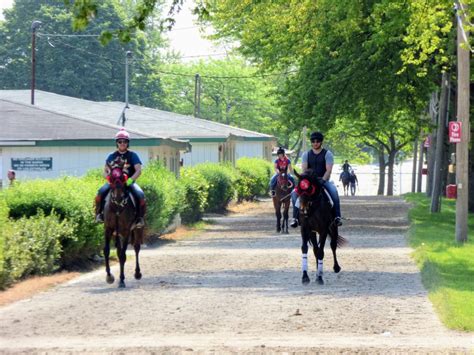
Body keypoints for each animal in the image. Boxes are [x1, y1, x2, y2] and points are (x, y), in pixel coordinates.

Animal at [102, 161, 143, 290]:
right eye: (111, 178)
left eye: (123, 177)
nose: (118, 197)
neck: (117, 207)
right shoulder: (108, 229)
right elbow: (106, 250)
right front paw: (109, 276)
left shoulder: (126, 231)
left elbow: (123, 255)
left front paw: (121, 280)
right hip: (117, 233)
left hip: (136, 229)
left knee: (136, 248)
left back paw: (137, 273)